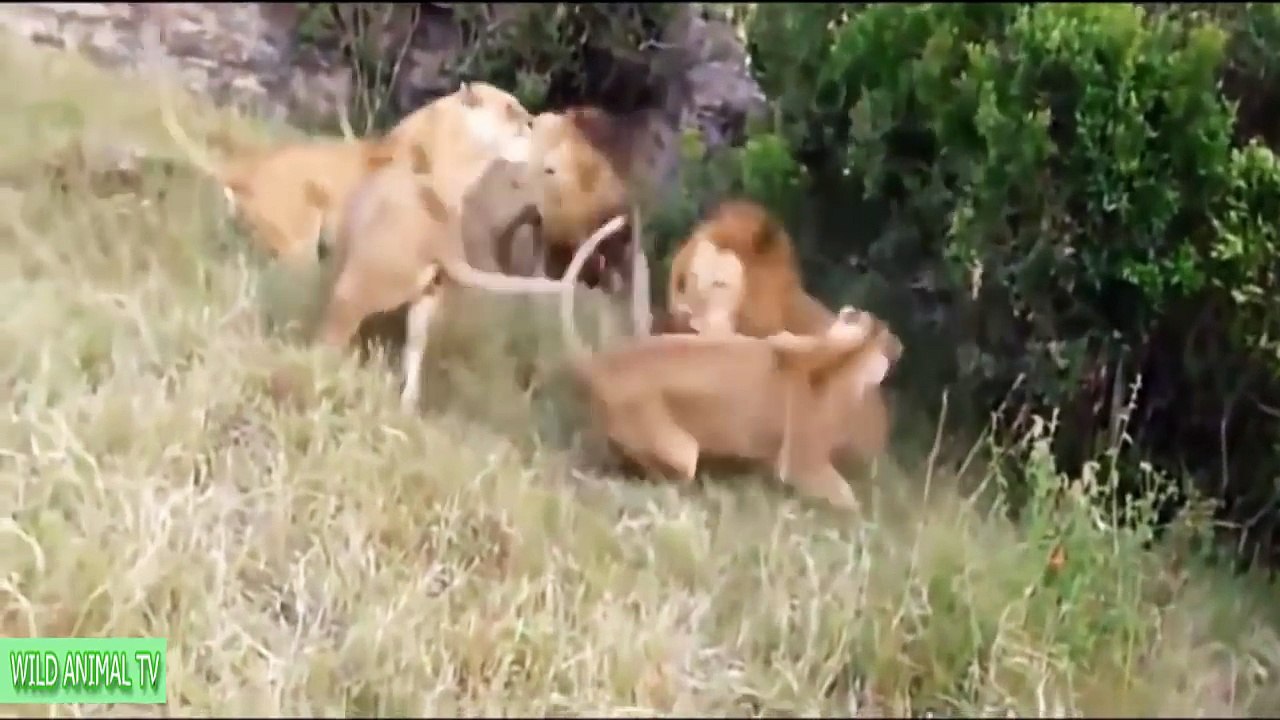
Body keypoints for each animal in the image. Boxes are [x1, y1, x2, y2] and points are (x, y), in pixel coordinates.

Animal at [556, 215, 904, 511]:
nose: (898, 346)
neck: (847, 356)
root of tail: (600, 364)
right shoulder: (802, 464)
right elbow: (850, 502)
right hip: (681, 450)